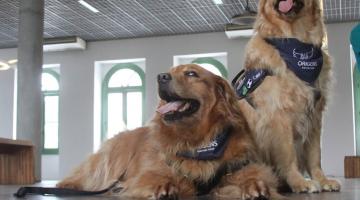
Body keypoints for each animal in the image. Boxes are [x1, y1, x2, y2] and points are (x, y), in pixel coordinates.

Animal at [57, 64, 280, 200]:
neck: (198, 141)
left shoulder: (241, 166)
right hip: (109, 163)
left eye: (191, 73)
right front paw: (164, 187)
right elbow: (156, 178)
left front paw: (254, 186)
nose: (161, 77)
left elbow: (253, 176)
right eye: (169, 71)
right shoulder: (147, 173)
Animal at [233, 0, 340, 194]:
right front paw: (299, 182)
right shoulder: (279, 116)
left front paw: (322, 180)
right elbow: (288, 154)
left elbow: (315, 155)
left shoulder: (314, 116)